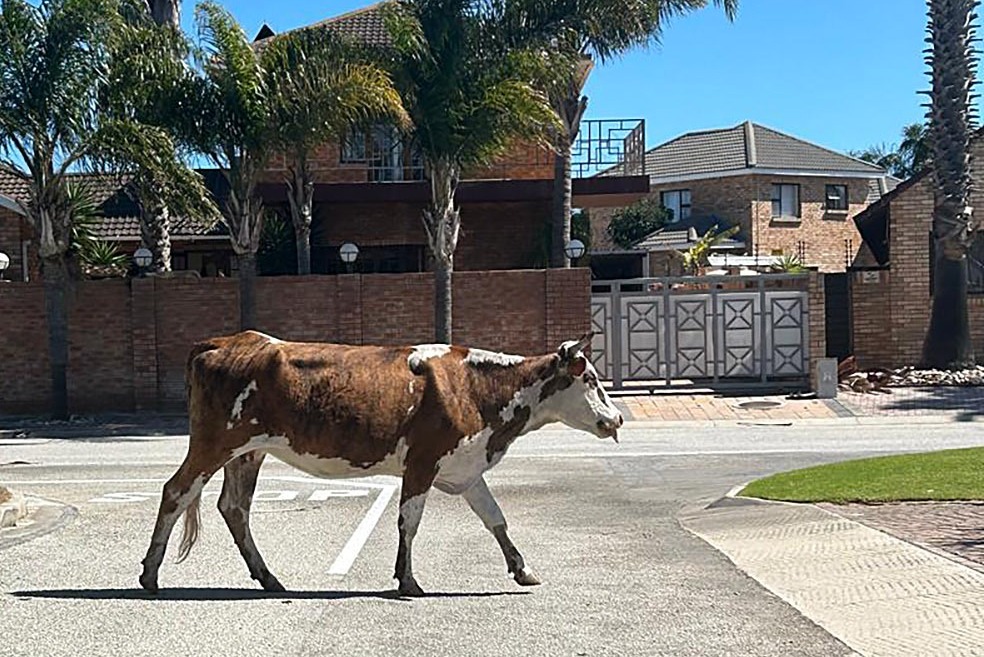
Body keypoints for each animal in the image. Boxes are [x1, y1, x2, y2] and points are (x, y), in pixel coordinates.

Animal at [139, 330, 623, 597]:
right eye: (590, 378)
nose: (617, 418)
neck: (475, 388)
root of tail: (228, 341)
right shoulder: (423, 462)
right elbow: (409, 522)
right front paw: (407, 580)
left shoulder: (465, 468)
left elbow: (495, 519)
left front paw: (523, 569)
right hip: (215, 443)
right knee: (176, 492)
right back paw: (150, 574)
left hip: (248, 452)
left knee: (234, 507)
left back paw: (268, 577)